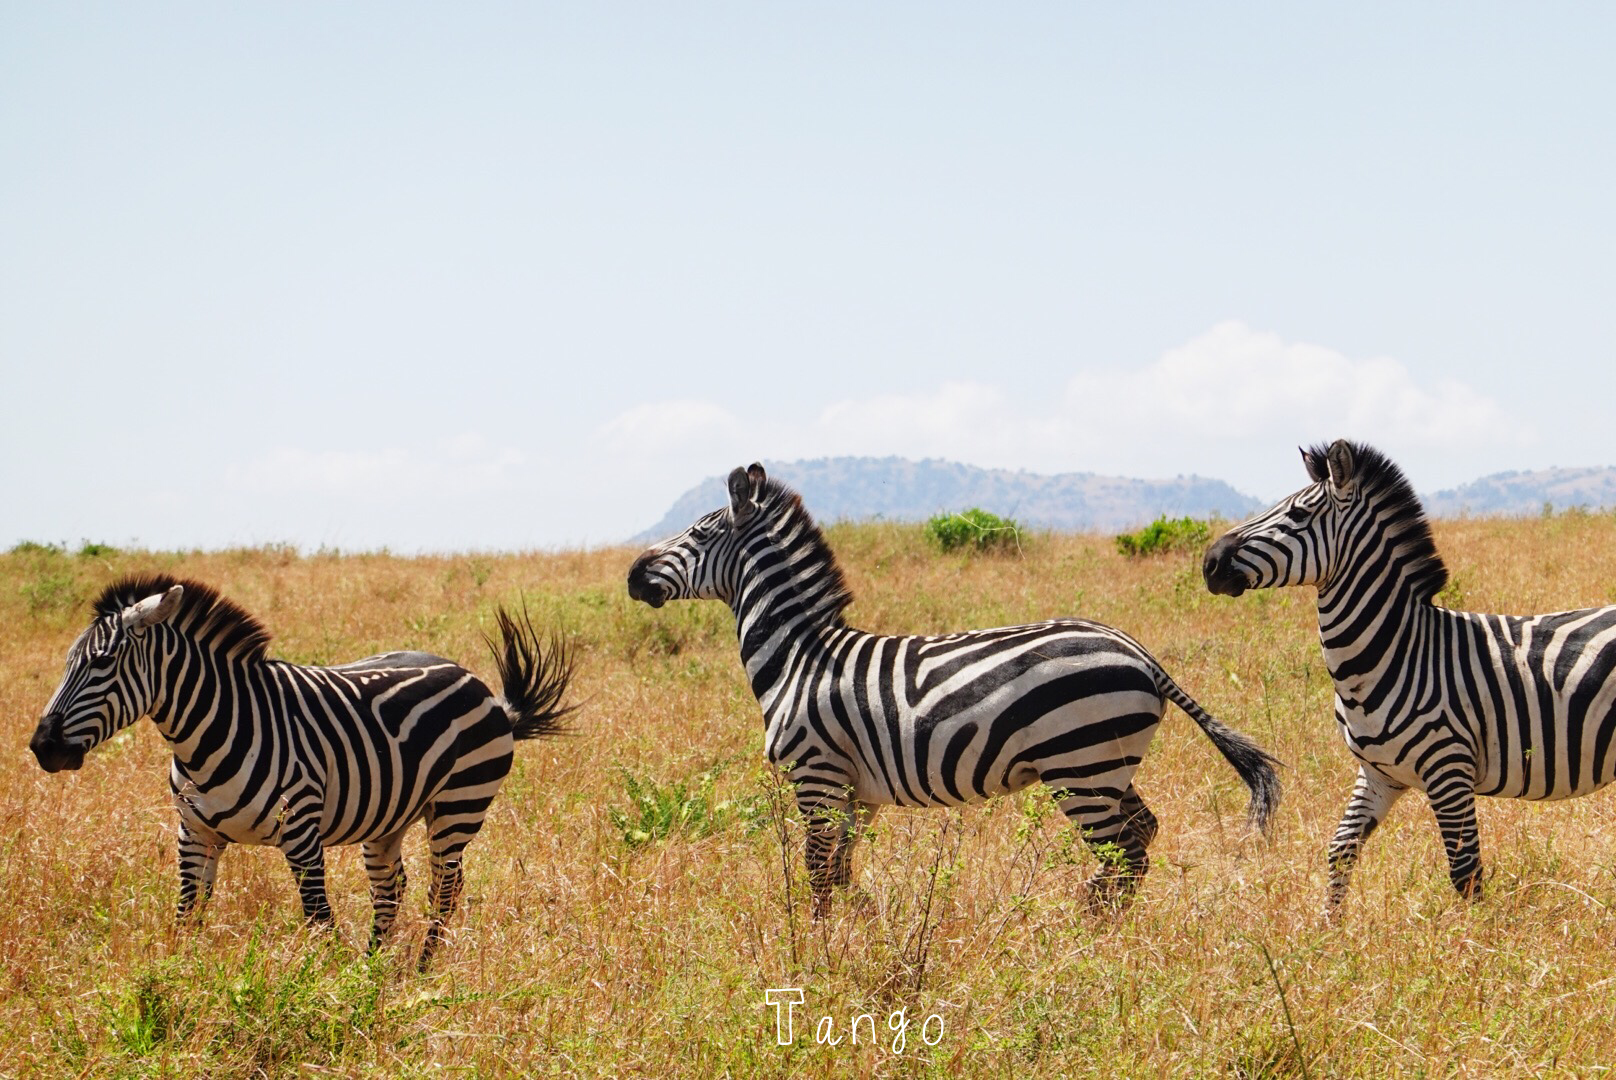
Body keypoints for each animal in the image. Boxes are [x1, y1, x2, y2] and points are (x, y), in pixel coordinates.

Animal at [26, 578, 575, 963]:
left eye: (102, 663)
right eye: (68, 662)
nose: (42, 747)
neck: (208, 734)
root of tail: (475, 681)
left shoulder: (301, 830)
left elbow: (318, 918)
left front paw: (329, 990)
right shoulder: (194, 832)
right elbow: (187, 915)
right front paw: (172, 981)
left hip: (458, 805)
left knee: (444, 889)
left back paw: (420, 969)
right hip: (390, 817)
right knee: (390, 887)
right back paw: (377, 969)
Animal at [623, 459, 1279, 918]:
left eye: (698, 532)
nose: (632, 574)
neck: (798, 657)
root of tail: (1138, 651)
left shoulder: (817, 778)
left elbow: (816, 873)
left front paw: (815, 951)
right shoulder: (856, 793)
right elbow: (842, 872)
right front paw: (863, 931)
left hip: (1080, 765)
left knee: (1126, 851)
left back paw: (1085, 934)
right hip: (1107, 764)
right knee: (1140, 836)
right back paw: (1095, 928)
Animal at [1202, 436, 1616, 911]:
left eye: (1298, 515)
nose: (1209, 562)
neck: (1399, 651)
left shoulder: (1449, 769)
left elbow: (1466, 872)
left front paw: (1477, 933)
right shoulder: (1378, 773)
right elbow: (1341, 848)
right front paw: (1328, 928)